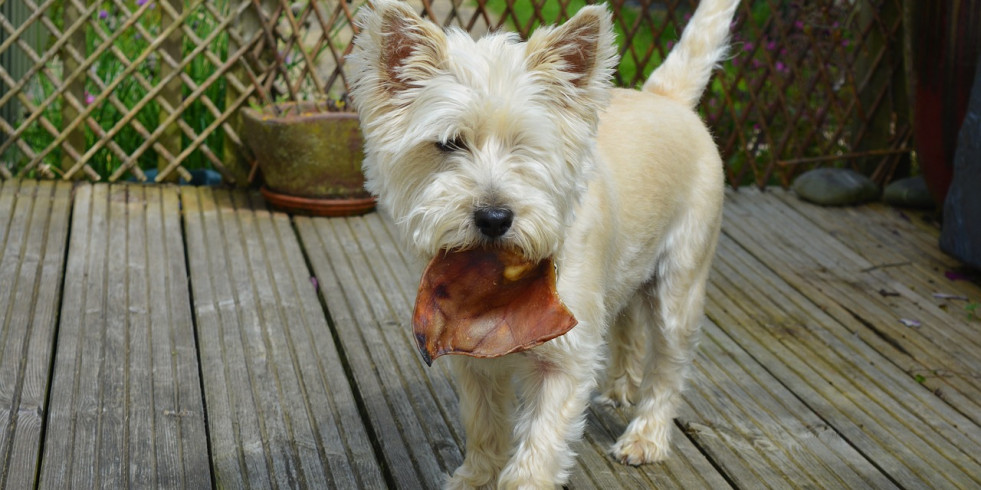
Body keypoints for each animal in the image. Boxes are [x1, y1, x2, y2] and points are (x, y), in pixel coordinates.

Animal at [348, 0, 740, 486]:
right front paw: (476, 478)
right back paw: (620, 388)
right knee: (628, 325)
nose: (494, 218)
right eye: (449, 143)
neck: (501, 282)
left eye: (525, 146)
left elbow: (540, 442)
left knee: (668, 365)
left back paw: (645, 437)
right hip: (629, 270)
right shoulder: (472, 358)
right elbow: (483, 423)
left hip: (679, 285)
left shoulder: (565, 359)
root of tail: (666, 97)